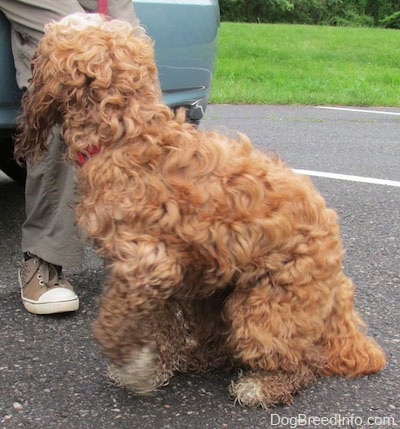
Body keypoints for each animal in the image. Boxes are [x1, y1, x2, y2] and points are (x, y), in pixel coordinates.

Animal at [17, 14, 386, 408]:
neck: (124, 133)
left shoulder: (146, 266)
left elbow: (114, 322)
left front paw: (133, 367)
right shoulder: (157, 282)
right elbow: (158, 327)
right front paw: (156, 366)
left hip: (266, 304)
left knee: (299, 362)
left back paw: (261, 386)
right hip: (213, 296)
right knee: (224, 347)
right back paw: (197, 357)